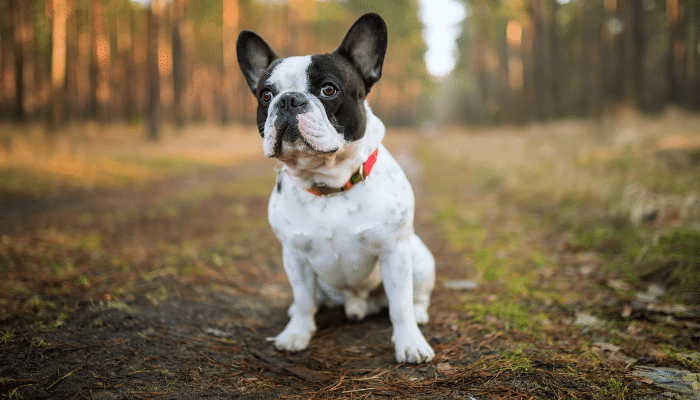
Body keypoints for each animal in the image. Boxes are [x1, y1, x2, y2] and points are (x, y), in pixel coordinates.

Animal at [238, 12, 434, 364]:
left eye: (328, 89)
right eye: (265, 96)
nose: (288, 100)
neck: (329, 184)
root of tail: (357, 303)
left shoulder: (394, 252)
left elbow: (400, 305)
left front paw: (410, 343)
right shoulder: (295, 256)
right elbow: (303, 298)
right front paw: (297, 333)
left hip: (419, 256)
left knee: (416, 297)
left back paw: (420, 313)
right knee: (310, 299)